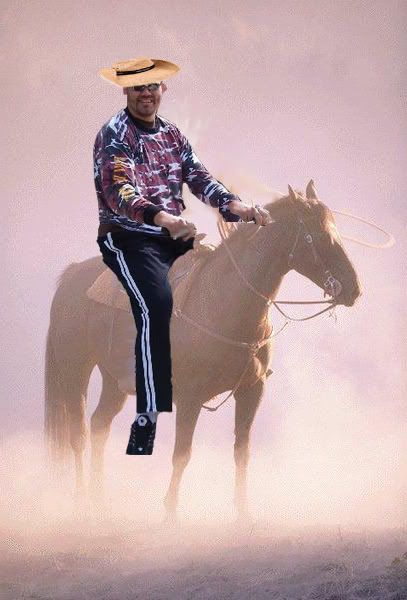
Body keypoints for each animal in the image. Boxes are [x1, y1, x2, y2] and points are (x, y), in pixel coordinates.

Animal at [44, 180, 361, 523]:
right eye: (318, 235)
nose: (354, 288)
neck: (225, 302)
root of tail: (72, 275)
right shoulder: (190, 397)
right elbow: (182, 454)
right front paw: (170, 514)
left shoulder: (252, 390)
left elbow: (242, 452)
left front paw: (243, 514)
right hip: (75, 369)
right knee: (79, 435)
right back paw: (81, 503)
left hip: (115, 382)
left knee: (99, 425)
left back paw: (100, 502)